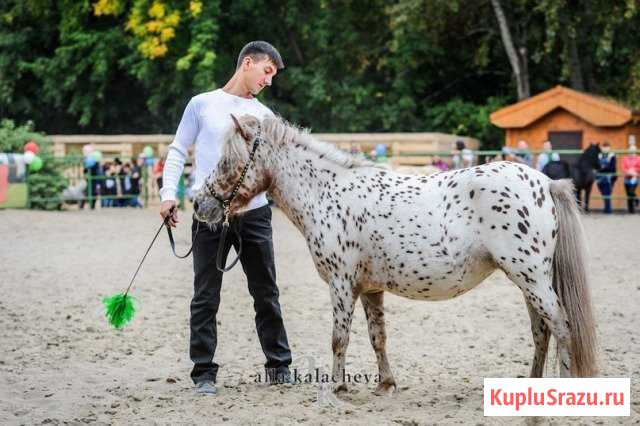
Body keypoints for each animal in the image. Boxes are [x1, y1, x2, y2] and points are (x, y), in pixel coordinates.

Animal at [192, 115, 596, 396]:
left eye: (227, 160)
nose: (199, 204)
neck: (328, 192)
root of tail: (545, 182)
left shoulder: (341, 284)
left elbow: (339, 338)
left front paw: (338, 386)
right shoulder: (370, 289)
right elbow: (378, 337)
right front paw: (385, 384)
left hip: (532, 279)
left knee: (561, 326)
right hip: (529, 282)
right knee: (542, 331)